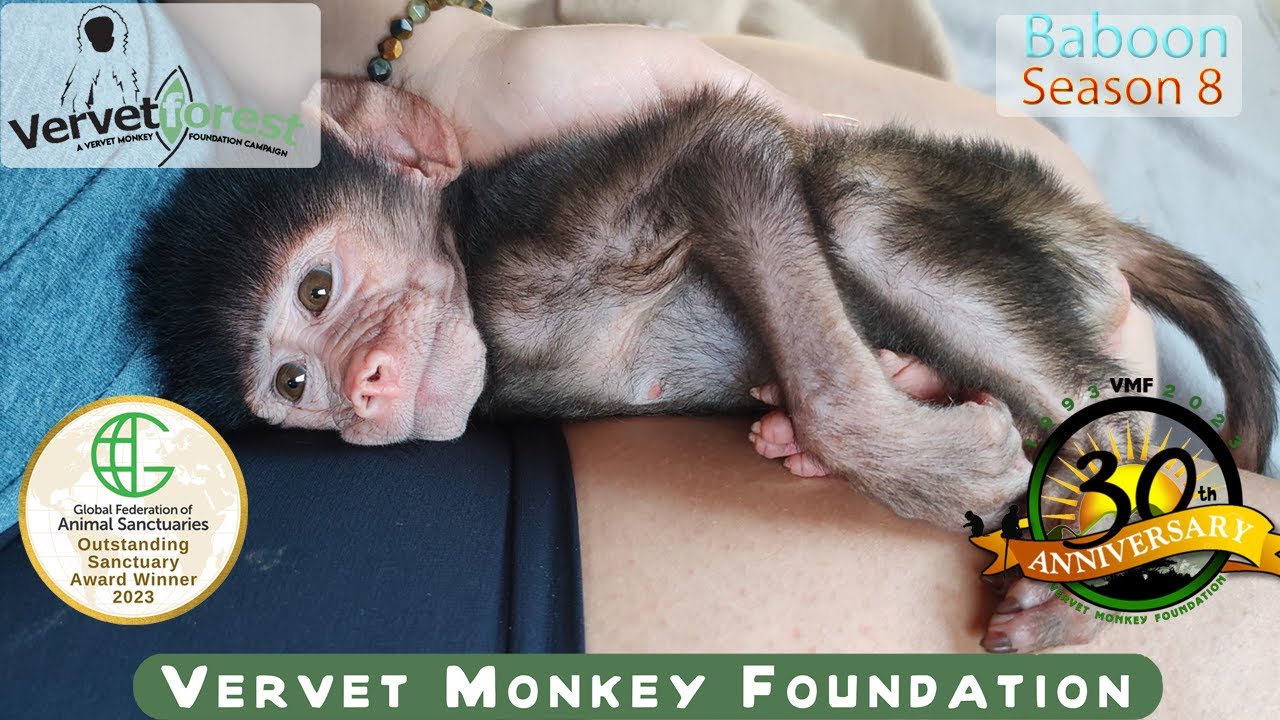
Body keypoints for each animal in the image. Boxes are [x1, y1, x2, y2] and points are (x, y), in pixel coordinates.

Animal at [131, 79, 1277, 653]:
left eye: (319, 291)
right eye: (293, 387)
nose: (360, 387)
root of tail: (1074, 214)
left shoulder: (527, 248)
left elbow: (725, 144)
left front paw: (929, 458)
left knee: (853, 207)